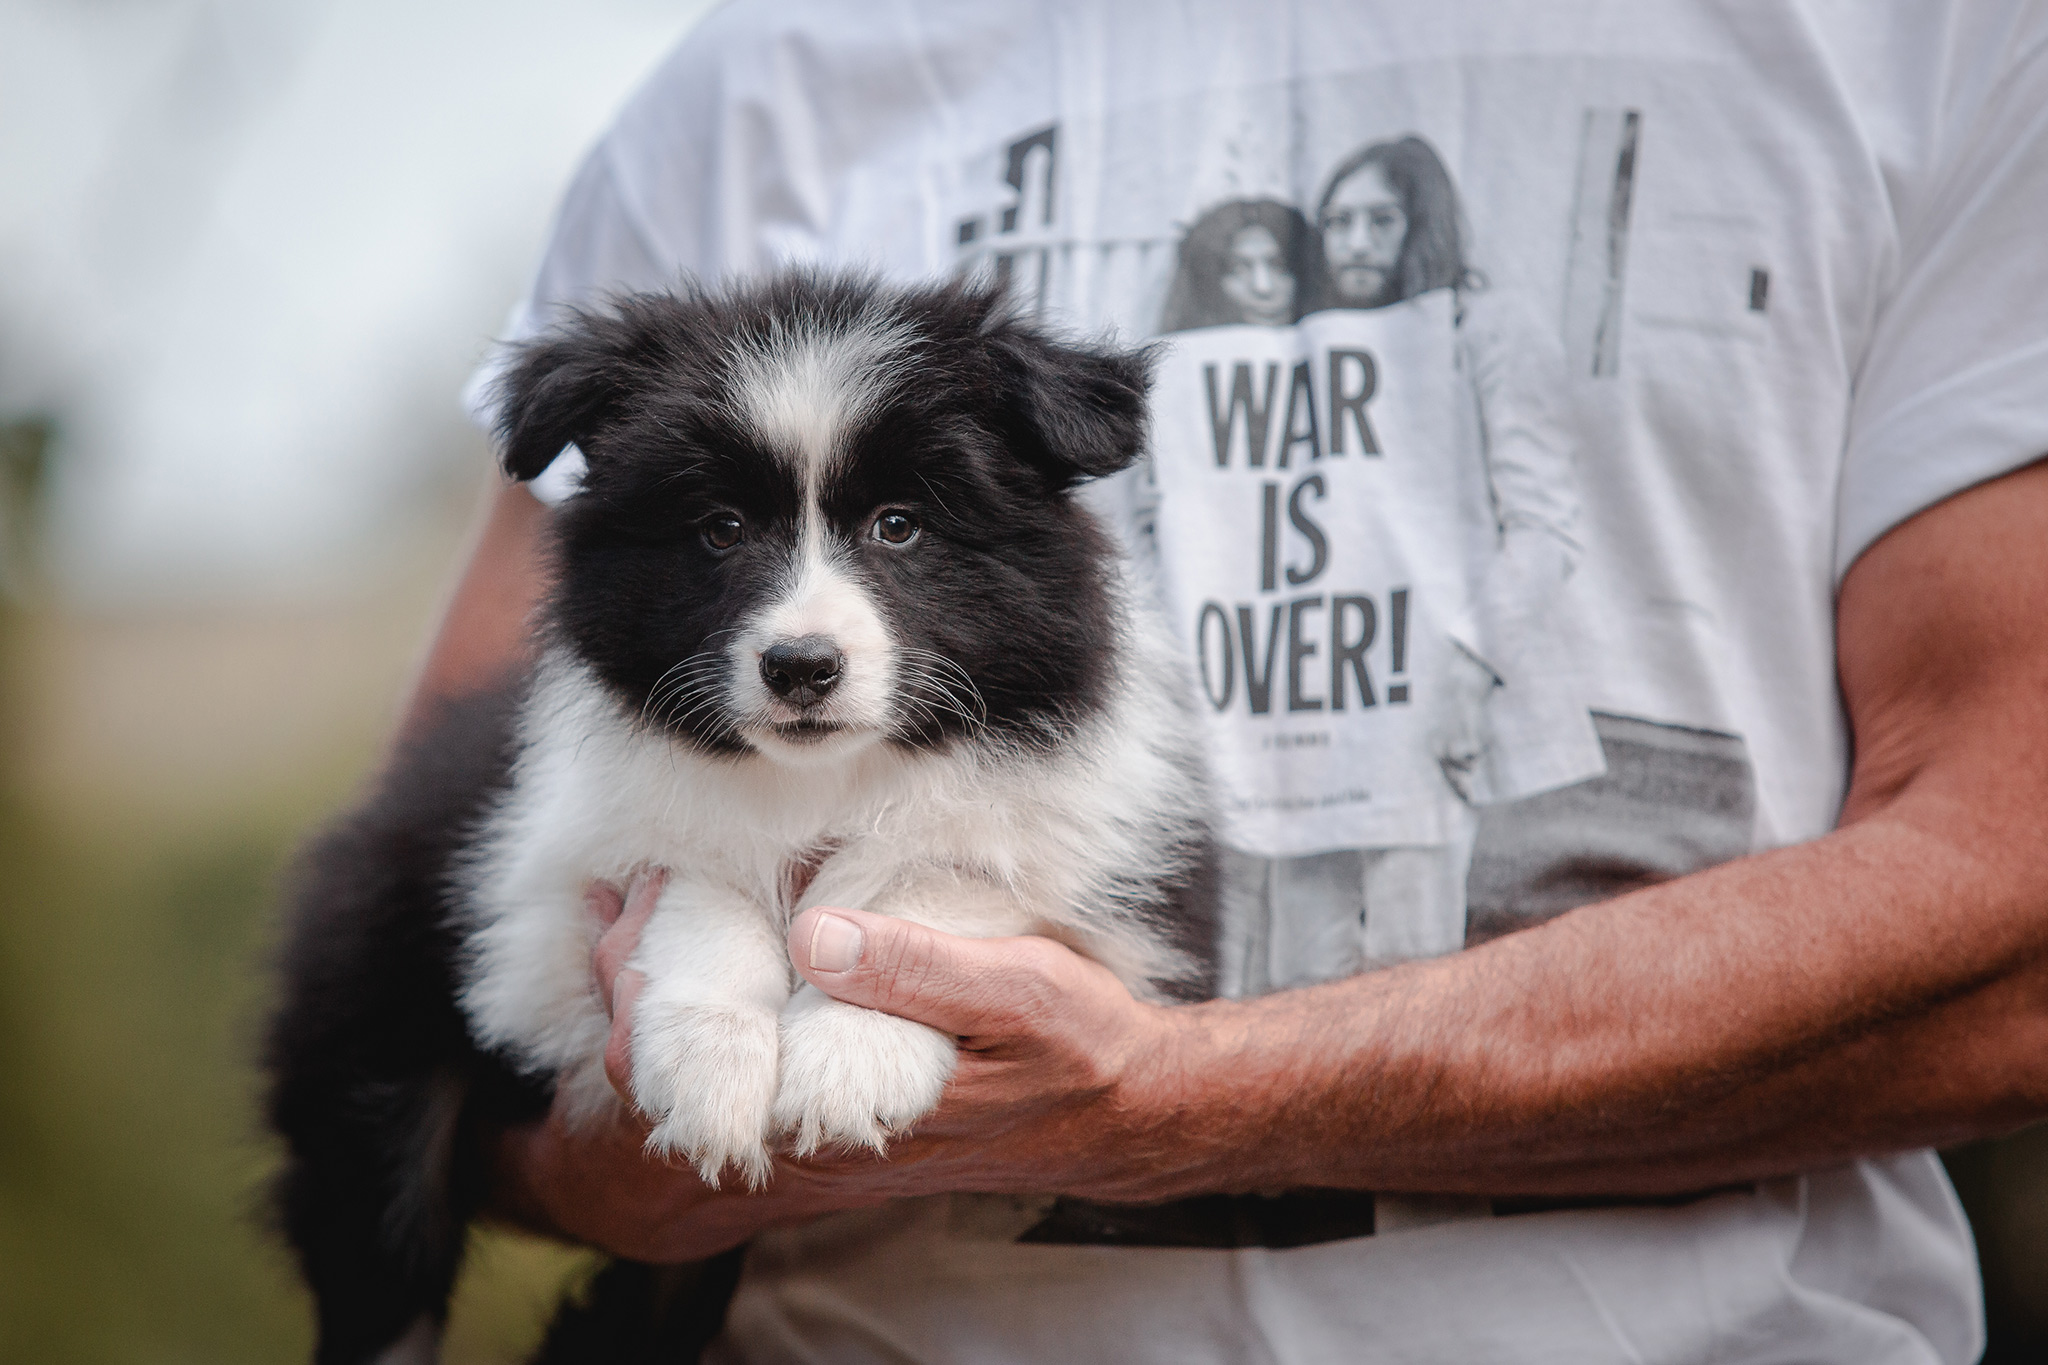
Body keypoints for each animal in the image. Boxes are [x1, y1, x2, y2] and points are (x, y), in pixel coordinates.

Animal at [262, 272, 1204, 1358]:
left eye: (898, 524)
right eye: (719, 528)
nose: (800, 666)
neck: (823, 775)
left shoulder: (1139, 903)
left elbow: (946, 872)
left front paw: (850, 1052)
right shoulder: (527, 907)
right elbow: (694, 876)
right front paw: (711, 1061)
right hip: (373, 1008)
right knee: (382, 1243)